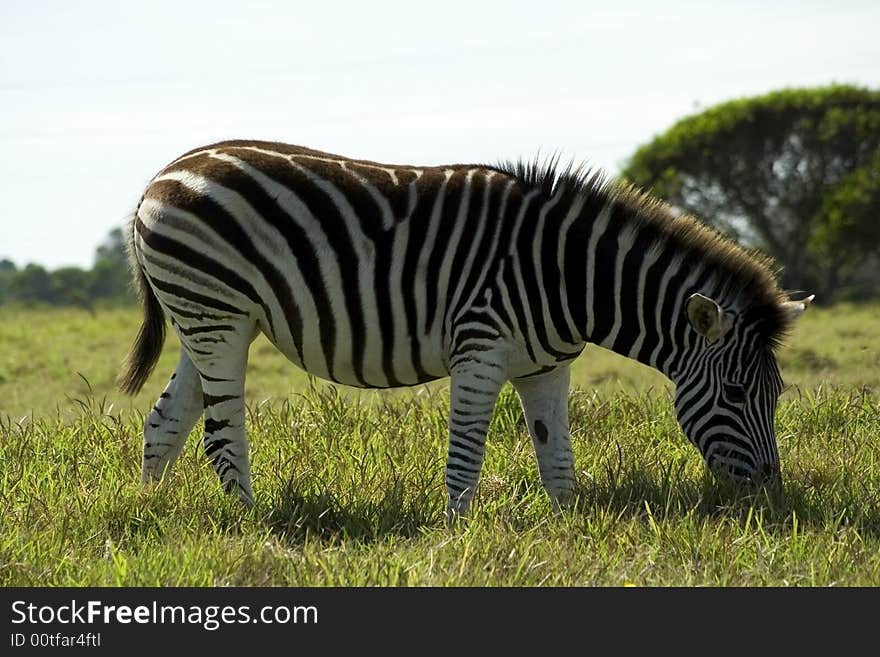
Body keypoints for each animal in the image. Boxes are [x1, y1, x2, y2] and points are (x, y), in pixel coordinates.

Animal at [117, 140, 812, 516]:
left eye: (777, 394)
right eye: (735, 394)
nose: (772, 493)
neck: (567, 275)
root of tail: (162, 175)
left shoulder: (548, 366)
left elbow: (557, 458)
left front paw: (569, 530)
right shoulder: (480, 350)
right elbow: (466, 456)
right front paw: (457, 536)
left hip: (206, 322)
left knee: (165, 421)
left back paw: (154, 510)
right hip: (218, 316)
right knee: (219, 431)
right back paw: (257, 525)